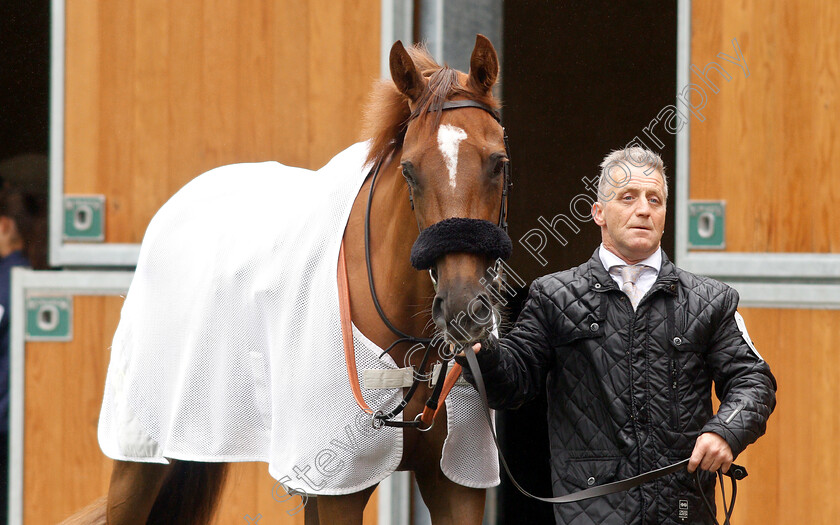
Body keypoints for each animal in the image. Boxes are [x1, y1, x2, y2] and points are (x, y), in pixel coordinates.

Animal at [62, 34, 508, 520]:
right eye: (409, 169)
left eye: (498, 162)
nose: (463, 308)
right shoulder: (340, 488)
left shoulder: (454, 484)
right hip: (139, 457)